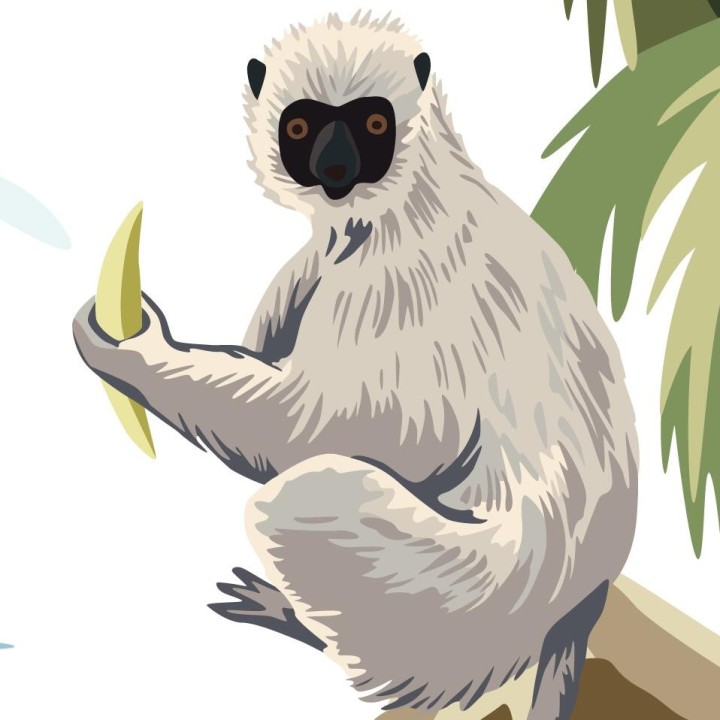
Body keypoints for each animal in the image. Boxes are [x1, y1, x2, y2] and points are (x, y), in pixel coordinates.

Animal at [72, 12, 638, 720]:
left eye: (372, 124)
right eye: (300, 128)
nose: (335, 166)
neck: (399, 200)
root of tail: (586, 597)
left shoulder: (399, 283)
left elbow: (311, 431)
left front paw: (132, 351)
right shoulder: (324, 259)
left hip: (466, 601)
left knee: (307, 494)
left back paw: (296, 617)